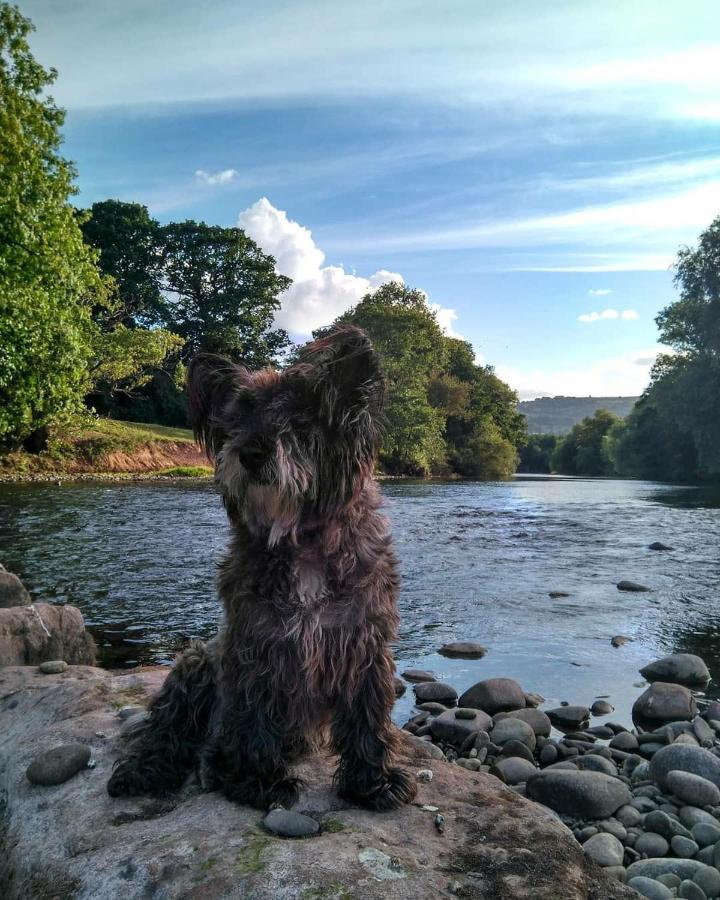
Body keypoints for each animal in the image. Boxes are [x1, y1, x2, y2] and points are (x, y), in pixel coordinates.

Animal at [109, 326, 420, 812]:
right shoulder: (256, 645)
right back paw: (148, 769)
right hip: (196, 663)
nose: (252, 454)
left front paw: (374, 782)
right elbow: (253, 714)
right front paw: (253, 780)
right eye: (236, 421)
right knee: (167, 730)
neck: (302, 541)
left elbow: (367, 716)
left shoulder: (363, 642)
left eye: (299, 421)